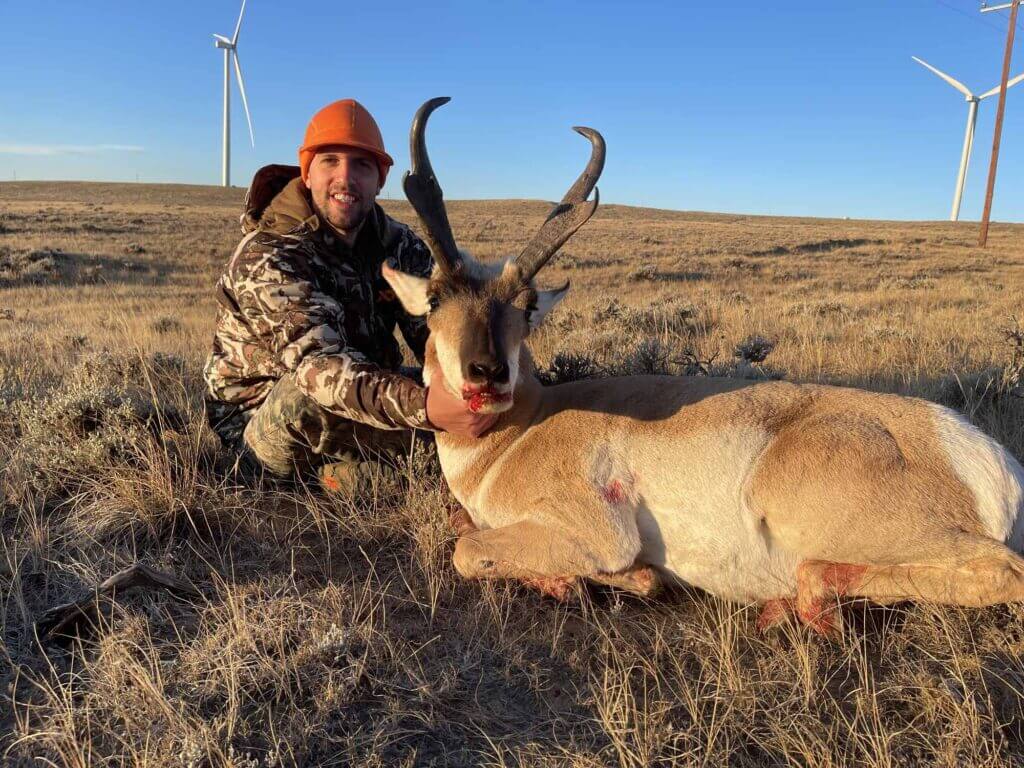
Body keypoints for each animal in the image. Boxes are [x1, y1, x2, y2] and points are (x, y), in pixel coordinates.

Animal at [382, 97, 1024, 634]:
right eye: (434, 300)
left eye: (526, 305)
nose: (487, 373)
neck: (525, 429)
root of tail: (984, 455)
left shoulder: (594, 530)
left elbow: (469, 550)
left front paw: (600, 580)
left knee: (1001, 571)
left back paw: (806, 596)